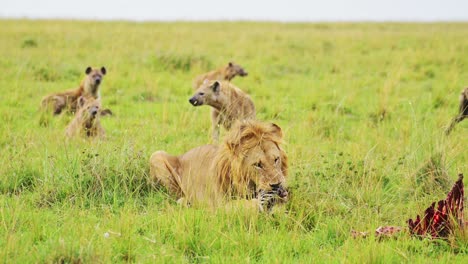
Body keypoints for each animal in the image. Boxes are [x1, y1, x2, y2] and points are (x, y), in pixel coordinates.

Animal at [150, 119, 288, 210]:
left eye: (276, 159)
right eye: (257, 165)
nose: (277, 185)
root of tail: (182, 155)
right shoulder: (219, 206)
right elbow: (245, 204)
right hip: (156, 156)